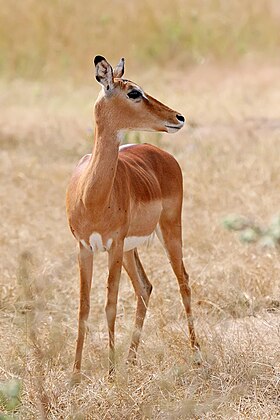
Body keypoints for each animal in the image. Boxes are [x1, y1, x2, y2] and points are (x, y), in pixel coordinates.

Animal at [66, 55, 201, 380]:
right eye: (134, 92)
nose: (179, 117)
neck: (91, 196)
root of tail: (159, 153)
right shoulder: (84, 248)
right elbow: (84, 307)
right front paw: (75, 375)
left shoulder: (113, 245)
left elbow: (110, 305)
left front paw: (111, 373)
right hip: (130, 249)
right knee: (145, 287)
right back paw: (131, 359)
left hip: (169, 230)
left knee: (183, 281)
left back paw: (196, 355)